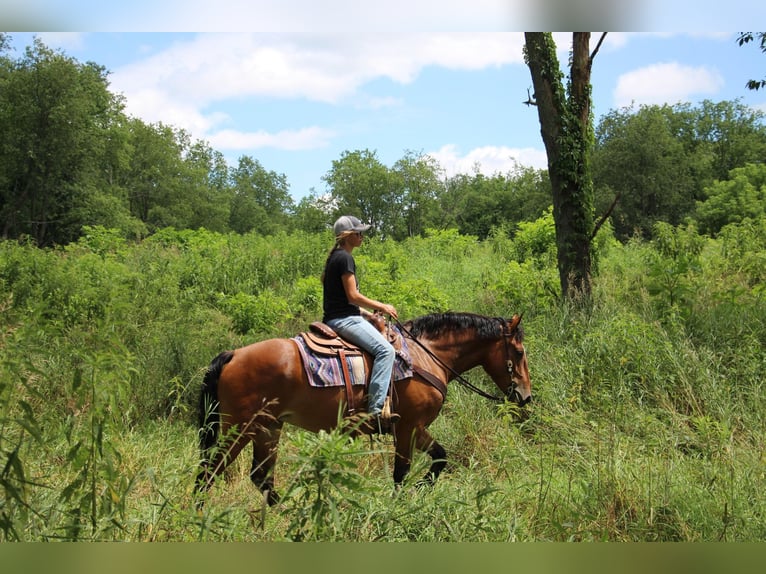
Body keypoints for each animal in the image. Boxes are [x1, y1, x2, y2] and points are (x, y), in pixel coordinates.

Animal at [195, 312, 532, 506]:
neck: (425, 356)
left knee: (260, 476)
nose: (526, 397)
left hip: (268, 428)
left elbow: (439, 458)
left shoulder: (415, 428)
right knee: (210, 471)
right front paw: (400, 506)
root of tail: (233, 354)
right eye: (518, 351)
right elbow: (402, 473)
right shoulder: (409, 426)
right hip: (240, 428)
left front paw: (418, 492)